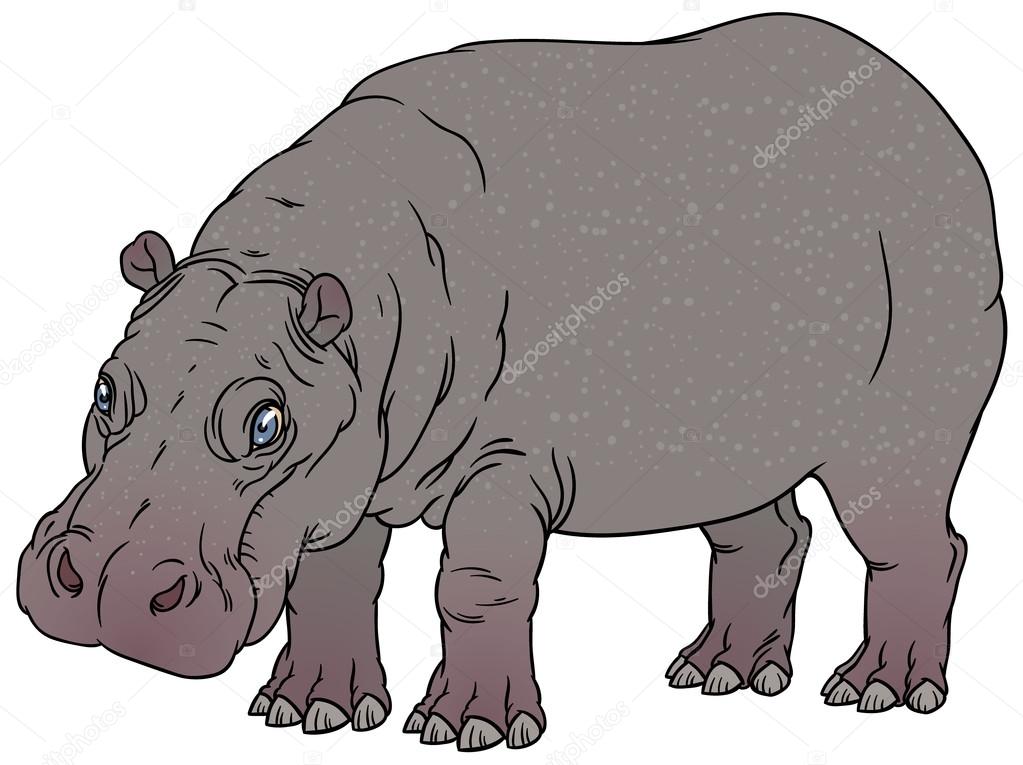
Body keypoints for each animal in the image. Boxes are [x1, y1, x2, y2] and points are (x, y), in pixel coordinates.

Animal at [18, 11, 1006, 751]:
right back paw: (719, 674)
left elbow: (476, 583)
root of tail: (933, 115)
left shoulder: (504, 460)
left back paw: (881, 692)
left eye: (265, 421)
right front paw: (312, 712)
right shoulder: (345, 463)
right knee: (763, 535)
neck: (305, 263)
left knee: (912, 539)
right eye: (105, 389)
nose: (101, 580)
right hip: (730, 433)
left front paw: (467, 729)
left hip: (898, 415)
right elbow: (330, 581)